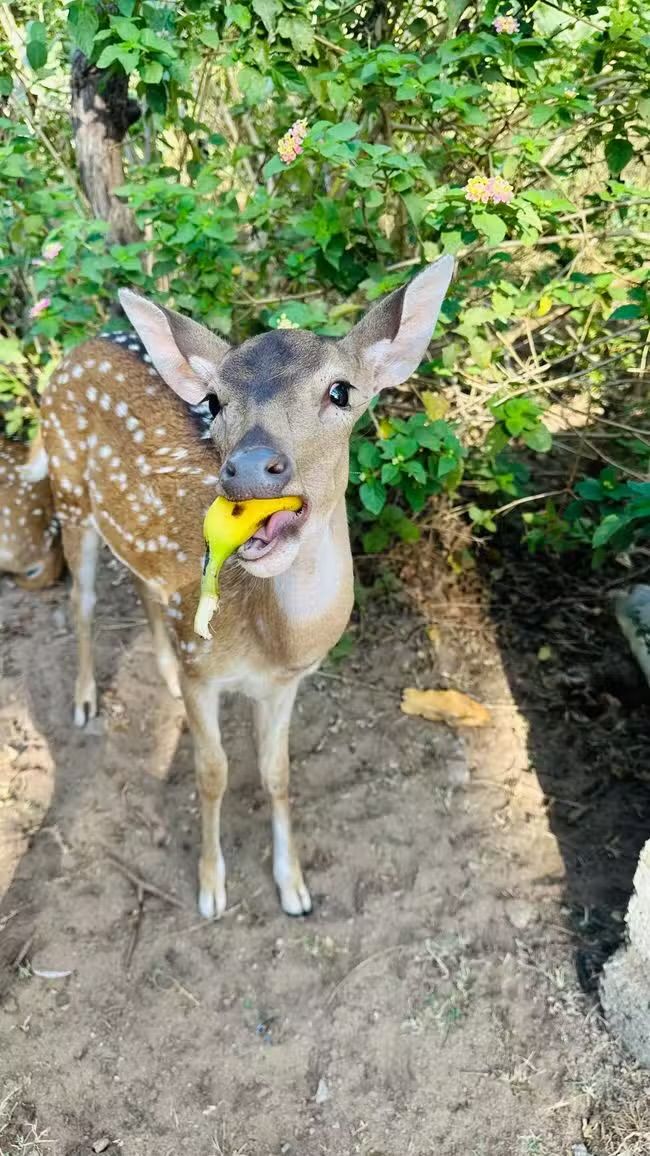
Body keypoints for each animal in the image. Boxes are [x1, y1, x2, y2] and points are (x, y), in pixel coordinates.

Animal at [39, 255, 454, 919]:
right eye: (213, 400)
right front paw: (211, 888)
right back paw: (84, 701)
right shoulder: (204, 671)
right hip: (69, 490)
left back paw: (160, 671)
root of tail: (82, 345)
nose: (253, 466)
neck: (270, 639)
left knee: (145, 589)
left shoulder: (285, 684)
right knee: (83, 601)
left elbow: (276, 773)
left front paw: (295, 887)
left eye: (341, 391)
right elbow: (213, 773)